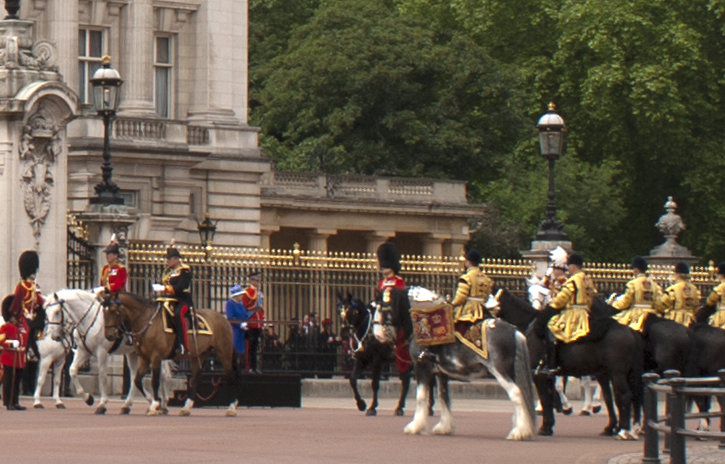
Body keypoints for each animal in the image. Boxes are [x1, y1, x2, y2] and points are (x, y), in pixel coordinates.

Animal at [40, 288, 174, 416]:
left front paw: (102, 404)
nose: (54, 336)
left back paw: (162, 405)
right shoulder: (83, 351)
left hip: (152, 354)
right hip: (133, 354)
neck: (89, 320)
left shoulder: (102, 352)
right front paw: (88, 398)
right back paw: (130, 405)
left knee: (162, 375)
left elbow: (102, 376)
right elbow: (72, 371)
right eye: (46, 313)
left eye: (57, 312)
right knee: (134, 377)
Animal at [104, 292, 238, 416]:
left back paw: (231, 408)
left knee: (231, 376)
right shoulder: (144, 357)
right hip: (198, 354)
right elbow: (137, 380)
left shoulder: (156, 357)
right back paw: (186, 408)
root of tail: (223, 317)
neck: (148, 322)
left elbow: (154, 381)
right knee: (195, 378)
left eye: (114, 311)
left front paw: (155, 404)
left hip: (224, 352)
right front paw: (154, 403)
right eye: (104, 312)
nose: (109, 336)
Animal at [498, 290, 640, 438]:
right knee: (622, 397)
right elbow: (550, 396)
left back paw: (623, 430)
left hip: (617, 373)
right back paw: (621, 428)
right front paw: (550, 423)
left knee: (624, 396)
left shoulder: (539, 374)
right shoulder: (548, 375)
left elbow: (545, 397)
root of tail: (631, 330)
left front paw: (546, 426)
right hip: (619, 372)